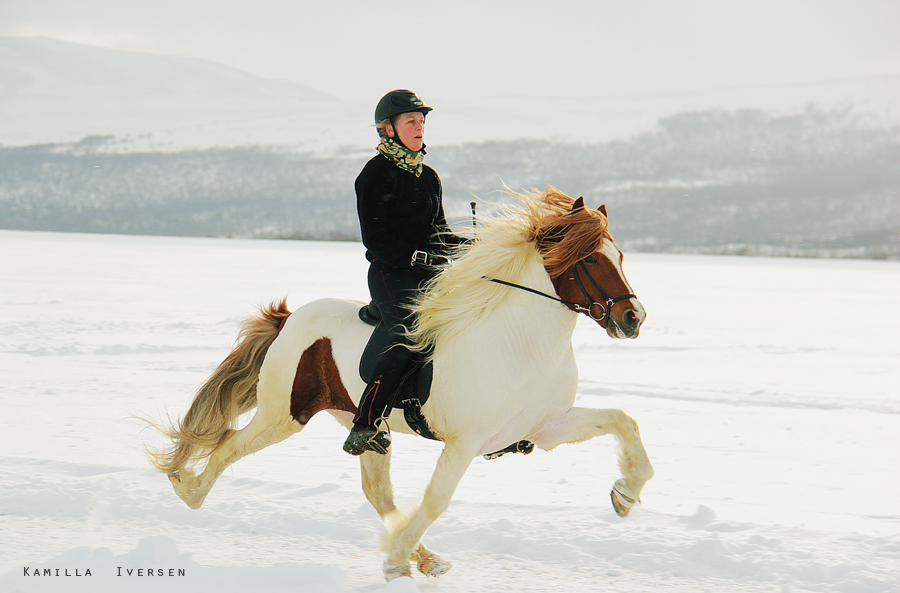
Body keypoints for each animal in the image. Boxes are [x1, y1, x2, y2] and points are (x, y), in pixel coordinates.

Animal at [146, 187, 652, 580]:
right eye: (590, 260)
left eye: (621, 256)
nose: (634, 318)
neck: (522, 343)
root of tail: (290, 319)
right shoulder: (464, 443)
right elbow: (435, 500)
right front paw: (392, 560)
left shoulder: (546, 427)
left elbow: (623, 421)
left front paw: (625, 495)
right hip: (284, 414)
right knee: (230, 444)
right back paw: (188, 491)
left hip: (367, 428)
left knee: (378, 492)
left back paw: (423, 559)